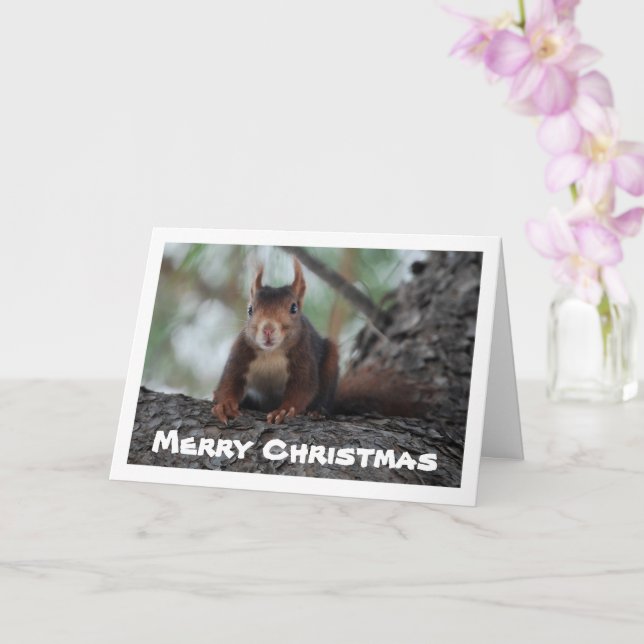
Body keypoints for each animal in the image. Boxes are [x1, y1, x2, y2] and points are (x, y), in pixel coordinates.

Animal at [212, 256, 429, 425]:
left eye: (293, 308)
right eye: (250, 310)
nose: (267, 329)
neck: (271, 353)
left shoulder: (304, 355)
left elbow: (303, 387)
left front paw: (284, 410)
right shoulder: (241, 352)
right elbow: (229, 380)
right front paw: (225, 405)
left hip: (330, 365)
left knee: (324, 397)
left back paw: (317, 411)